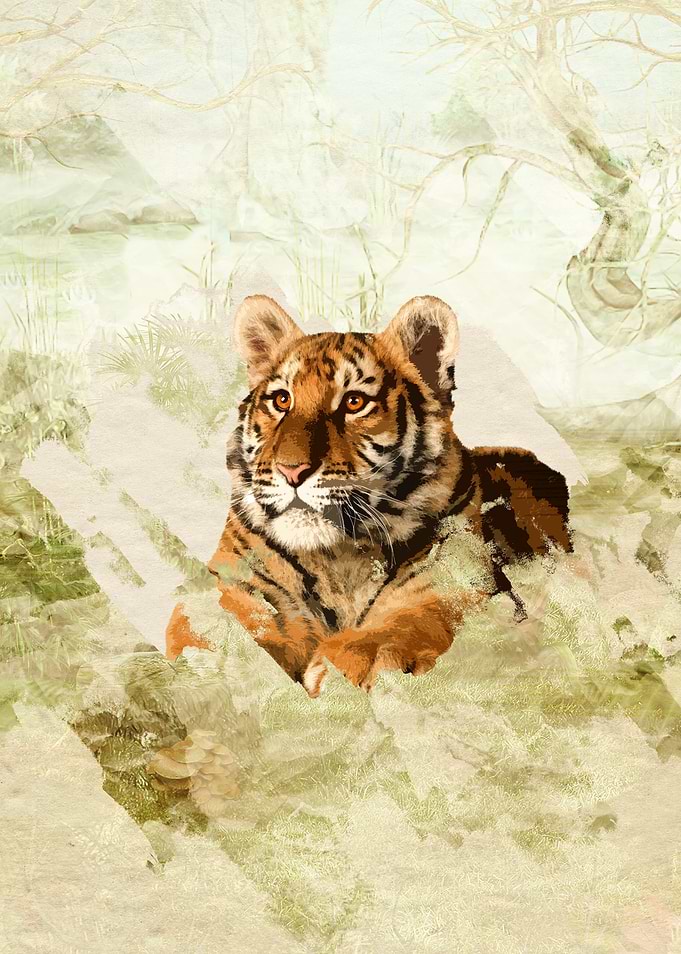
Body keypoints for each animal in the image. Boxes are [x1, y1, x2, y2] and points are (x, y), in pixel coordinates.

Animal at [165, 294, 572, 696]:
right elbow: (209, 623)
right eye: (281, 400)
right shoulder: (239, 580)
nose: (291, 471)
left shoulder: (454, 577)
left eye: (354, 403)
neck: (338, 554)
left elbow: (406, 622)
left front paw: (345, 667)